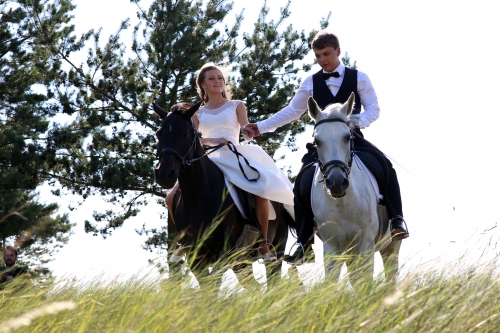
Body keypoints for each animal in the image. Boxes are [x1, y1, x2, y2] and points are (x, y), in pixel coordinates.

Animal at [154, 102, 294, 288]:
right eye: (159, 133)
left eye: (185, 134)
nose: (164, 174)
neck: (199, 196)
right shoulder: (196, 258)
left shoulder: (224, 255)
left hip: (275, 248)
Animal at [306, 92, 400, 286]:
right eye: (317, 141)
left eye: (347, 137)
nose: (336, 182)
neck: (342, 203)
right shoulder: (332, 249)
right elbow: (331, 283)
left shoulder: (365, 245)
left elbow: (365, 282)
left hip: (391, 246)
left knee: (391, 276)